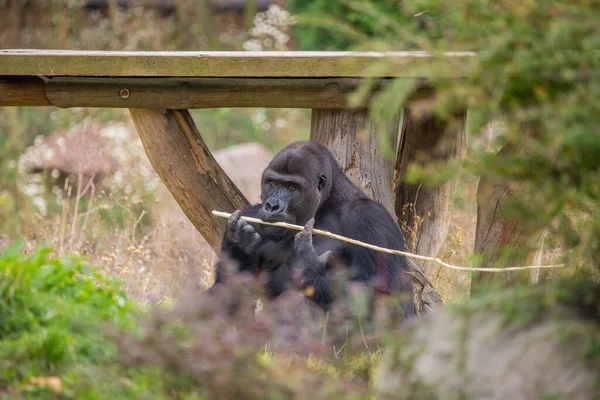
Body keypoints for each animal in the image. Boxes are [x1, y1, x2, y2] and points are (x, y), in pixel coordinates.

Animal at [213, 140, 414, 316]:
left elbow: (390, 299)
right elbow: (226, 285)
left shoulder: (370, 218)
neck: (326, 204)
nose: (272, 206)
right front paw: (239, 248)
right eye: (272, 183)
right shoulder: (253, 215)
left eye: (291, 187)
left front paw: (306, 267)